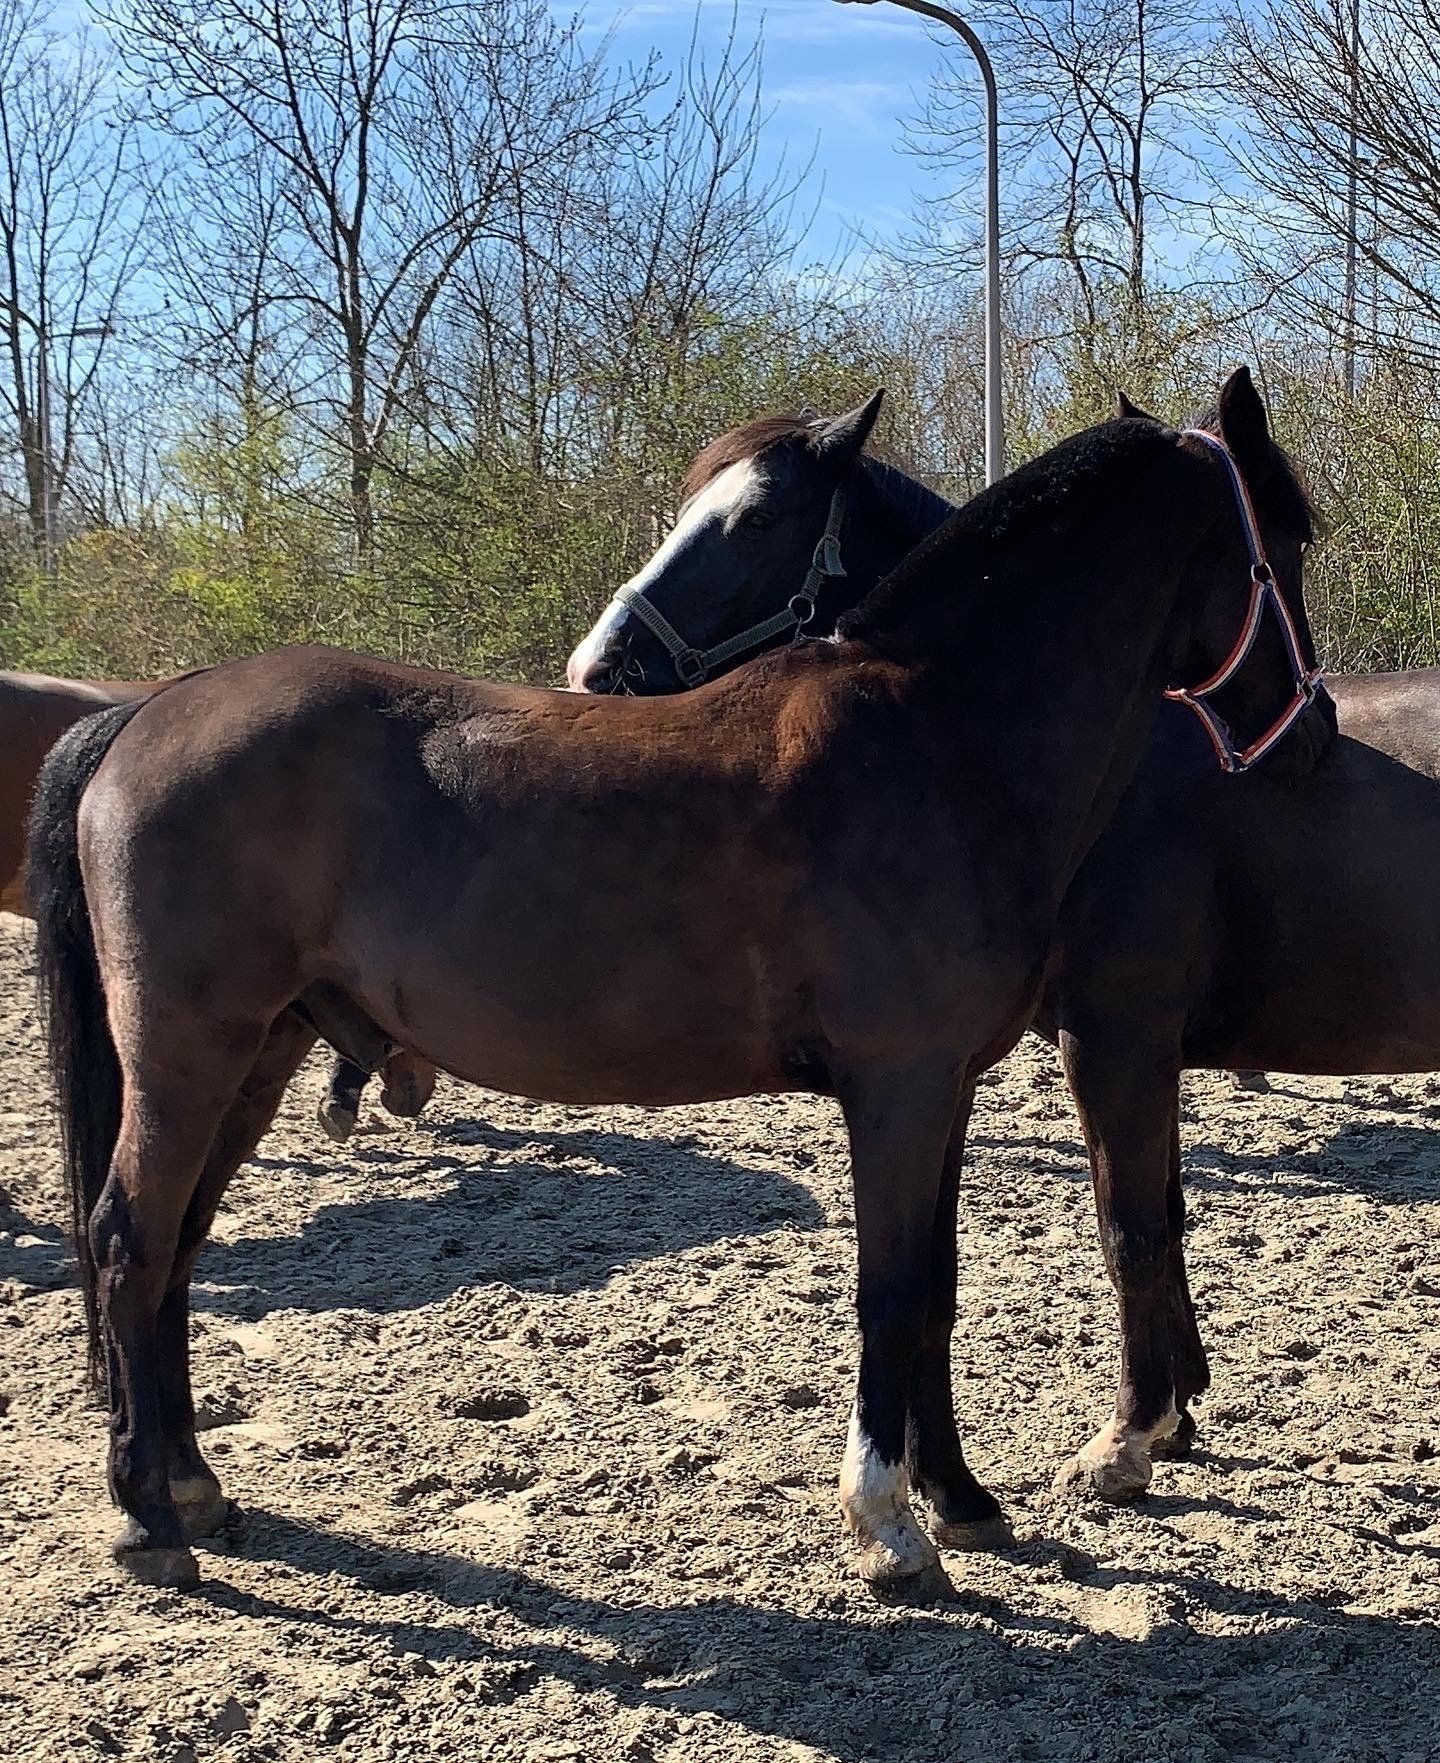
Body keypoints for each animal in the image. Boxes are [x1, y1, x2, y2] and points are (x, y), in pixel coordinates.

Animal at [568, 386, 1440, 1512]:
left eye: (758, 521)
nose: (594, 668)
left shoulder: (1114, 1040)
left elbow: (1129, 1230)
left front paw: (1128, 1434)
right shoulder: (1085, 1052)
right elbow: (1152, 1220)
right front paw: (1174, 1412)